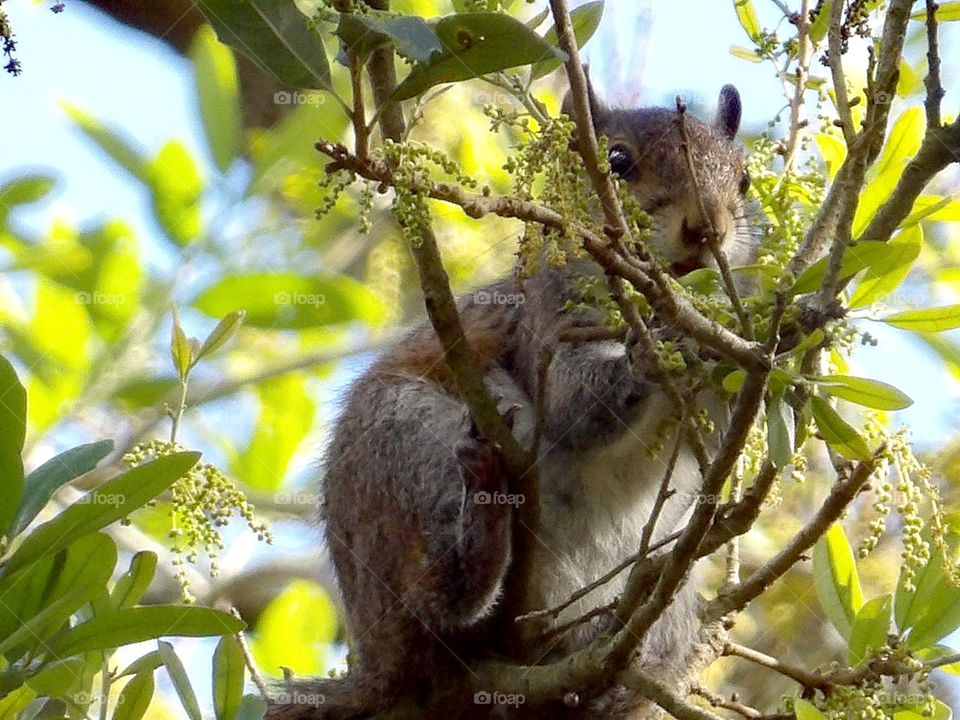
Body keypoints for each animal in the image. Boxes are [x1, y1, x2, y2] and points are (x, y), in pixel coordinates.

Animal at [270, 81, 752, 720]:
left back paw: (615, 680)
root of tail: (378, 671)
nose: (707, 229)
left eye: (746, 179)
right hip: (406, 444)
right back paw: (480, 536)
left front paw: (790, 330)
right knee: (437, 603)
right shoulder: (542, 330)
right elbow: (573, 404)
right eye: (616, 161)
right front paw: (654, 351)